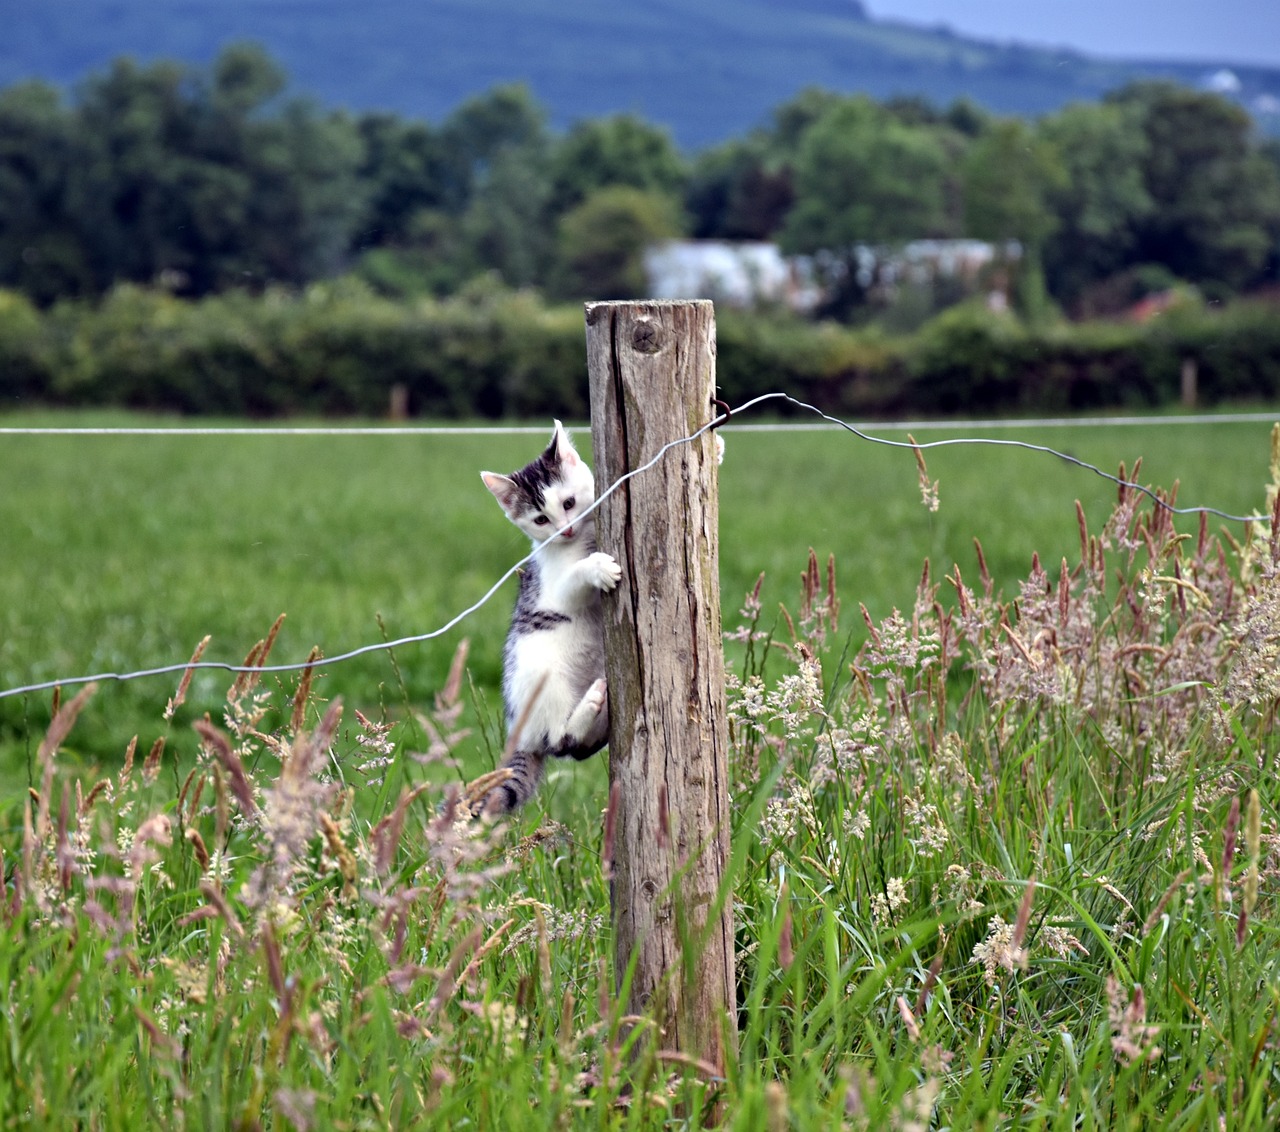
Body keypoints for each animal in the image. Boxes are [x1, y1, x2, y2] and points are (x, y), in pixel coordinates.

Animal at [476, 417, 624, 814]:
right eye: (541, 519)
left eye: (569, 503)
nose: (566, 529)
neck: (584, 538)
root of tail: (519, 735)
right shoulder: (554, 586)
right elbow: (573, 579)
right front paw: (597, 567)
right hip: (543, 678)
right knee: (560, 741)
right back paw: (588, 707)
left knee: (580, 749)